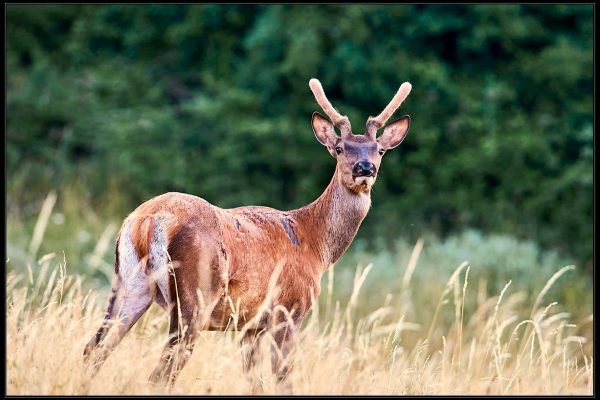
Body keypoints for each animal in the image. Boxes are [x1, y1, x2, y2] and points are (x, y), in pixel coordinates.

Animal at [83, 77, 412, 388]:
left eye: (380, 150)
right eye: (340, 148)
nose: (364, 168)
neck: (316, 244)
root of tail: (150, 219)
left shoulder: (251, 325)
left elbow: (255, 381)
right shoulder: (288, 310)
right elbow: (282, 378)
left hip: (128, 285)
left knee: (94, 348)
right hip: (195, 293)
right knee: (162, 370)